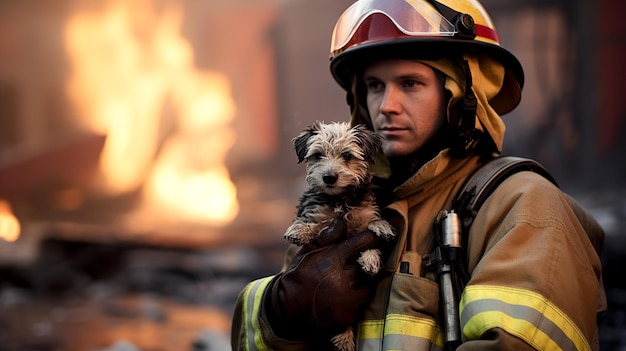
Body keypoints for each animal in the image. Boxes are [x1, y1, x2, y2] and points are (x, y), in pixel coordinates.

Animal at [284, 121, 392, 351]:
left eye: (347, 155)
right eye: (317, 155)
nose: (329, 178)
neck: (340, 199)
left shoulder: (364, 214)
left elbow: (370, 231)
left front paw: (376, 241)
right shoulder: (318, 211)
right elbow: (314, 221)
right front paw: (300, 230)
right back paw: (343, 339)